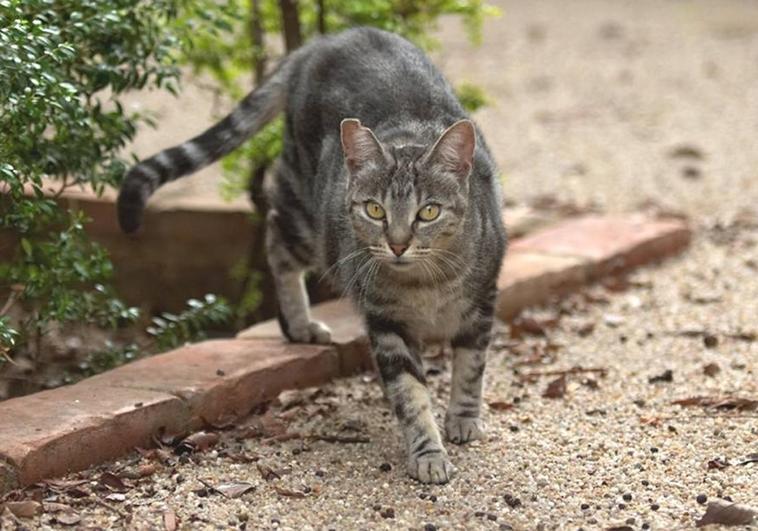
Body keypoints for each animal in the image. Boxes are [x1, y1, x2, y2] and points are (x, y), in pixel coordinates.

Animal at [119, 27, 508, 484]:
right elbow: (410, 395)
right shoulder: (386, 322)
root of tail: (328, 39)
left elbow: (470, 368)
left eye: (428, 211)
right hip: (309, 220)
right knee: (275, 237)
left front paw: (463, 419)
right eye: (374, 210)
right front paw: (428, 452)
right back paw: (299, 323)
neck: (425, 285)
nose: (397, 243)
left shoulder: (482, 303)